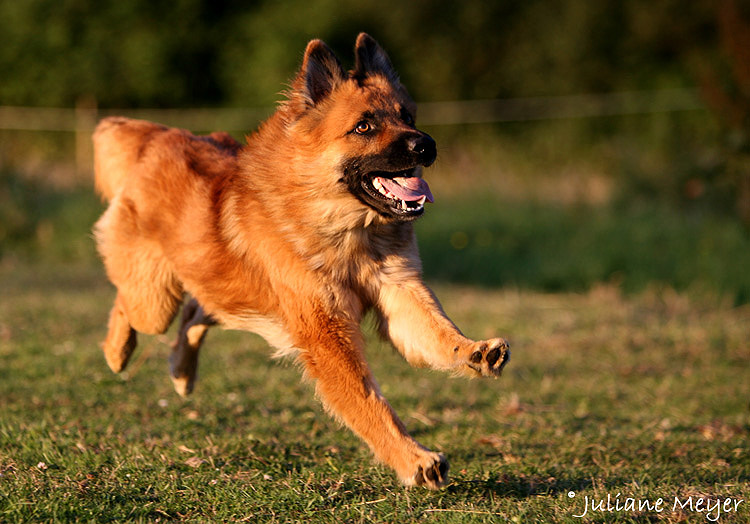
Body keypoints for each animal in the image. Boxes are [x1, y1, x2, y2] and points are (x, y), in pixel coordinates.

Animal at [95, 34, 512, 490]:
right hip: (153, 301)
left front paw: (474, 351)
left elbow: (438, 333)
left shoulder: (398, 292)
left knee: (198, 310)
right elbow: (369, 404)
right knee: (130, 304)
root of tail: (159, 136)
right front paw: (413, 458)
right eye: (364, 126)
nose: (427, 145)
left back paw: (182, 371)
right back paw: (118, 351)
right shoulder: (325, 334)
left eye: (406, 117)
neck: (346, 231)